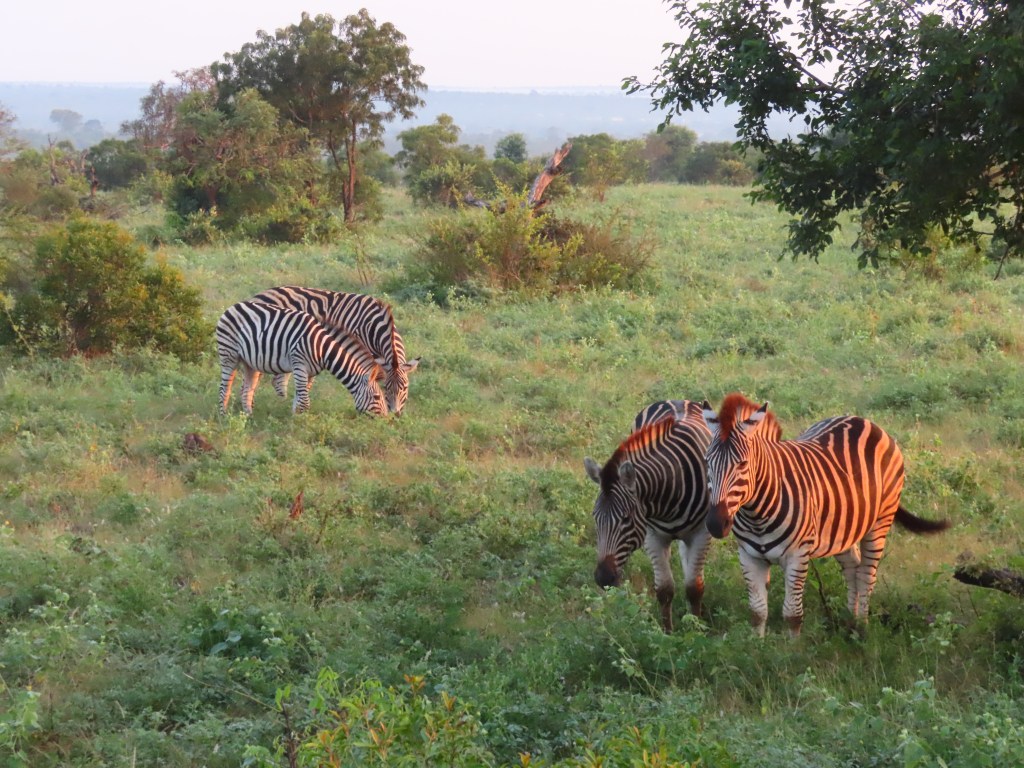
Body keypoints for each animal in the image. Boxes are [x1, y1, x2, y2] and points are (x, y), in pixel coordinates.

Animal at [216, 300, 387, 417]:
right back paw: (223, 416)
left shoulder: (310, 372)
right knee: (224, 388)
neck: (323, 348)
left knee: (247, 390)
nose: (386, 420)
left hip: (250, 363)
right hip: (229, 355)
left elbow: (300, 398)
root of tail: (233, 306)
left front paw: (294, 417)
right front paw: (300, 426)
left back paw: (248, 417)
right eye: (377, 397)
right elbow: (305, 402)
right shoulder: (299, 365)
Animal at [247, 286, 419, 416]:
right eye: (386, 388)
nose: (395, 414)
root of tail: (261, 293)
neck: (375, 325)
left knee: (278, 380)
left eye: (405, 388)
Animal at [583, 399, 780, 632]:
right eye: (595, 518)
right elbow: (664, 589)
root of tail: (673, 400)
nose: (602, 578)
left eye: (626, 519)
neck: (667, 493)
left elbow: (694, 588)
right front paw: (668, 633)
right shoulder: (652, 536)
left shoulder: (702, 533)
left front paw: (694, 630)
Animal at [701, 393, 951, 638]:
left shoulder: (798, 555)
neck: (756, 515)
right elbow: (757, 612)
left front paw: (792, 650)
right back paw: (850, 621)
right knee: (853, 568)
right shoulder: (749, 556)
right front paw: (757, 647)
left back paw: (862, 628)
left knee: (866, 575)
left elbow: (792, 614)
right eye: (706, 462)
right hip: (843, 528)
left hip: (880, 521)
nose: (716, 524)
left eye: (742, 464)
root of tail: (862, 420)